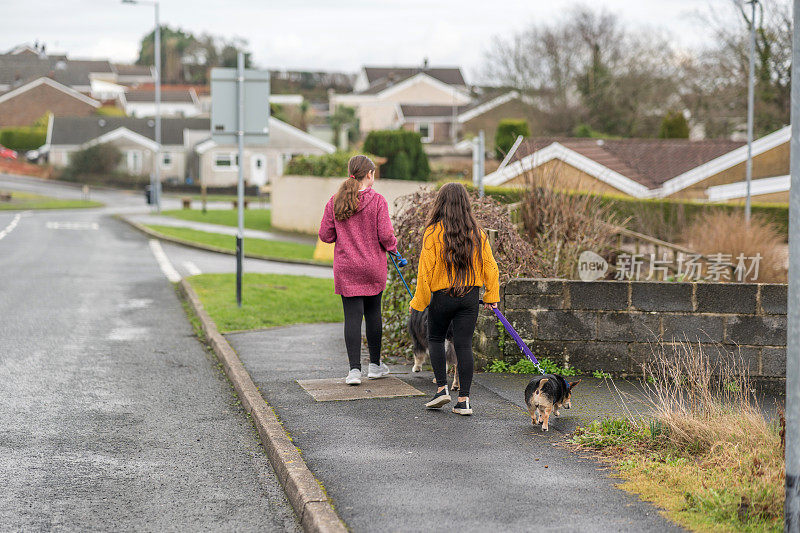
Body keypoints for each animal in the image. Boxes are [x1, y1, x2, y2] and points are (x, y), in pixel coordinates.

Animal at [318, 156, 400, 384]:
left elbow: (326, 232)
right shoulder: (381, 205)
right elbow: (385, 233)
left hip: (348, 289)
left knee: (352, 326)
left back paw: (354, 375)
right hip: (373, 290)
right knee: (373, 323)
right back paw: (375, 370)